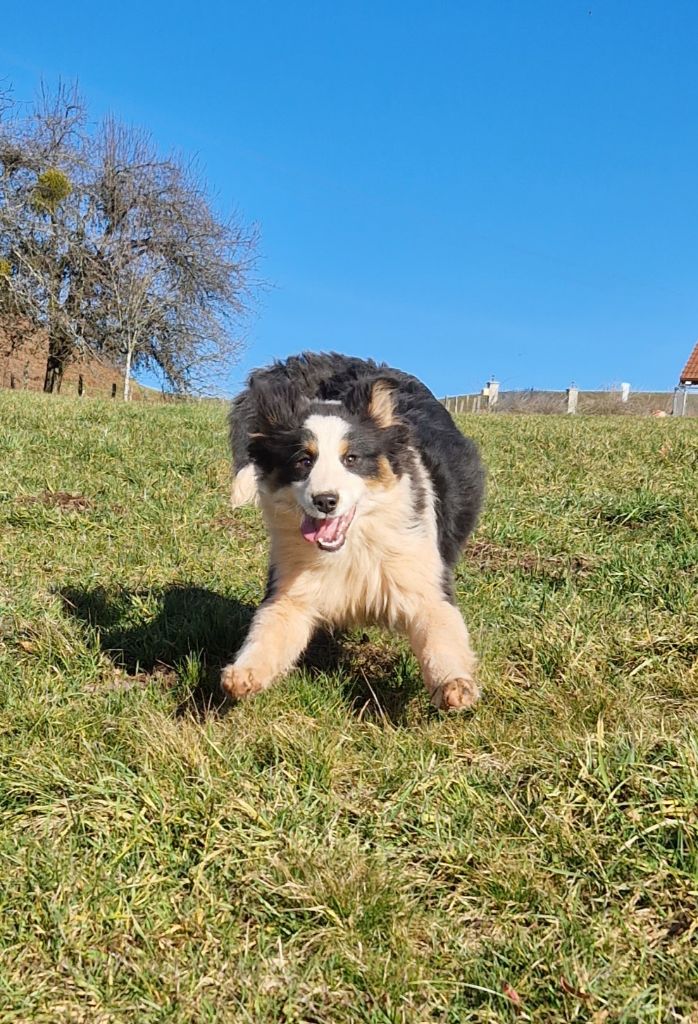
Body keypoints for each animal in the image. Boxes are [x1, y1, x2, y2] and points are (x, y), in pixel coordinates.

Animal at [221, 352, 485, 710]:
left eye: (351, 458)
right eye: (303, 460)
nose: (325, 501)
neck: (354, 546)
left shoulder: (423, 578)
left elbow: (439, 632)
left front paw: (454, 684)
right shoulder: (291, 585)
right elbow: (269, 629)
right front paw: (243, 674)